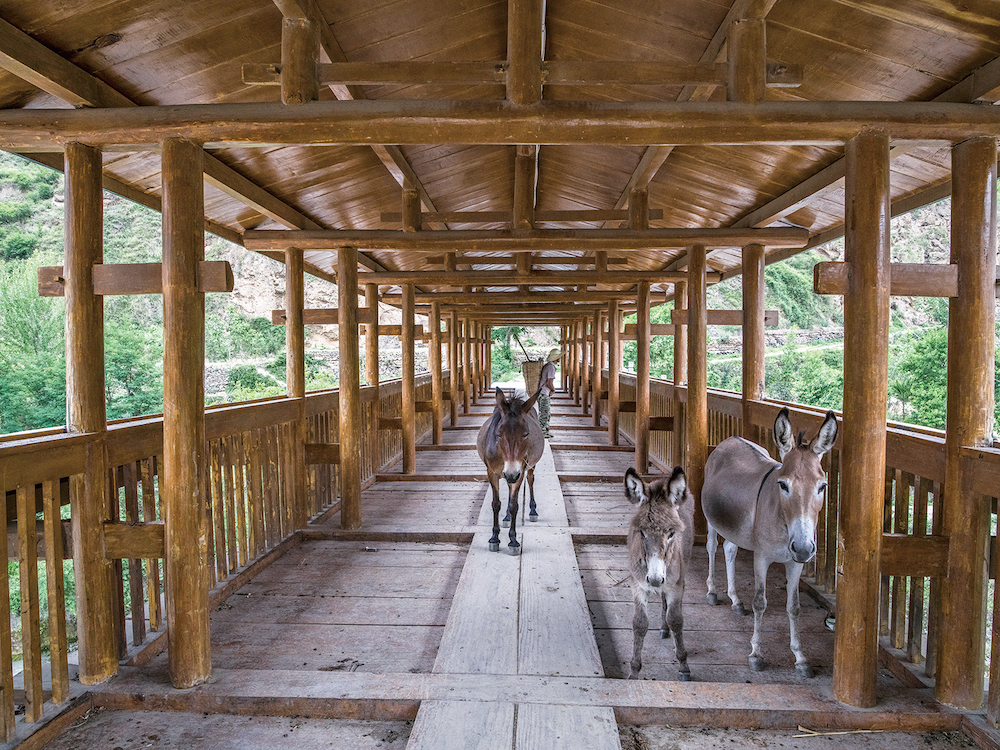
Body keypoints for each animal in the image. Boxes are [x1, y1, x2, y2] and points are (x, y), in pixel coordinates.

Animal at [624, 464, 696, 680]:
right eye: (641, 532)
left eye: (671, 533)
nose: (655, 580)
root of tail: (661, 480)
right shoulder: (637, 585)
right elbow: (639, 624)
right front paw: (634, 671)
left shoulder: (674, 585)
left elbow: (676, 620)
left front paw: (683, 665)